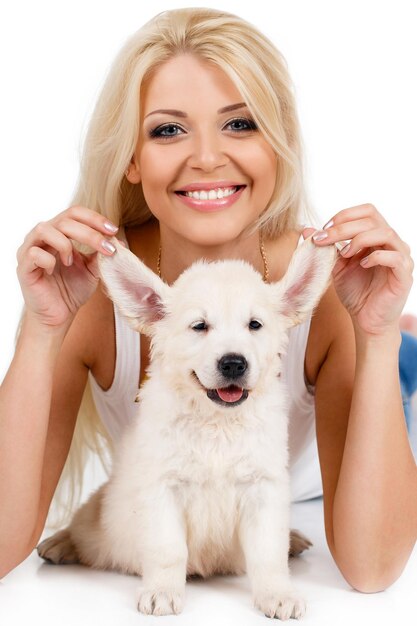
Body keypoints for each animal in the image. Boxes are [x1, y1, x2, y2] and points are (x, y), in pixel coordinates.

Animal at [38, 236, 334, 616]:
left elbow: (269, 554)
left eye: (255, 324)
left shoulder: (263, 488)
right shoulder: (163, 488)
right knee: (84, 530)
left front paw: (278, 594)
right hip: (100, 516)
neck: (217, 423)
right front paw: (162, 592)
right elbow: (168, 551)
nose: (234, 363)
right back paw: (60, 543)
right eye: (200, 326)